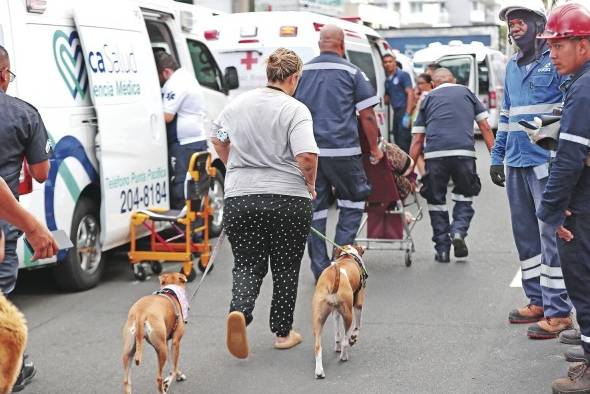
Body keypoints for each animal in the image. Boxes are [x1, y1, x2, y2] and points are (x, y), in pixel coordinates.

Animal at [312, 243, 368, 378]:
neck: (348, 256)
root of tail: (332, 280)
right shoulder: (358, 304)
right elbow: (358, 326)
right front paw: (353, 338)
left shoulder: (335, 312)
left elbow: (337, 334)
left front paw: (336, 346)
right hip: (348, 315)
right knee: (345, 340)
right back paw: (344, 355)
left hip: (318, 319)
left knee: (318, 347)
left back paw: (319, 371)